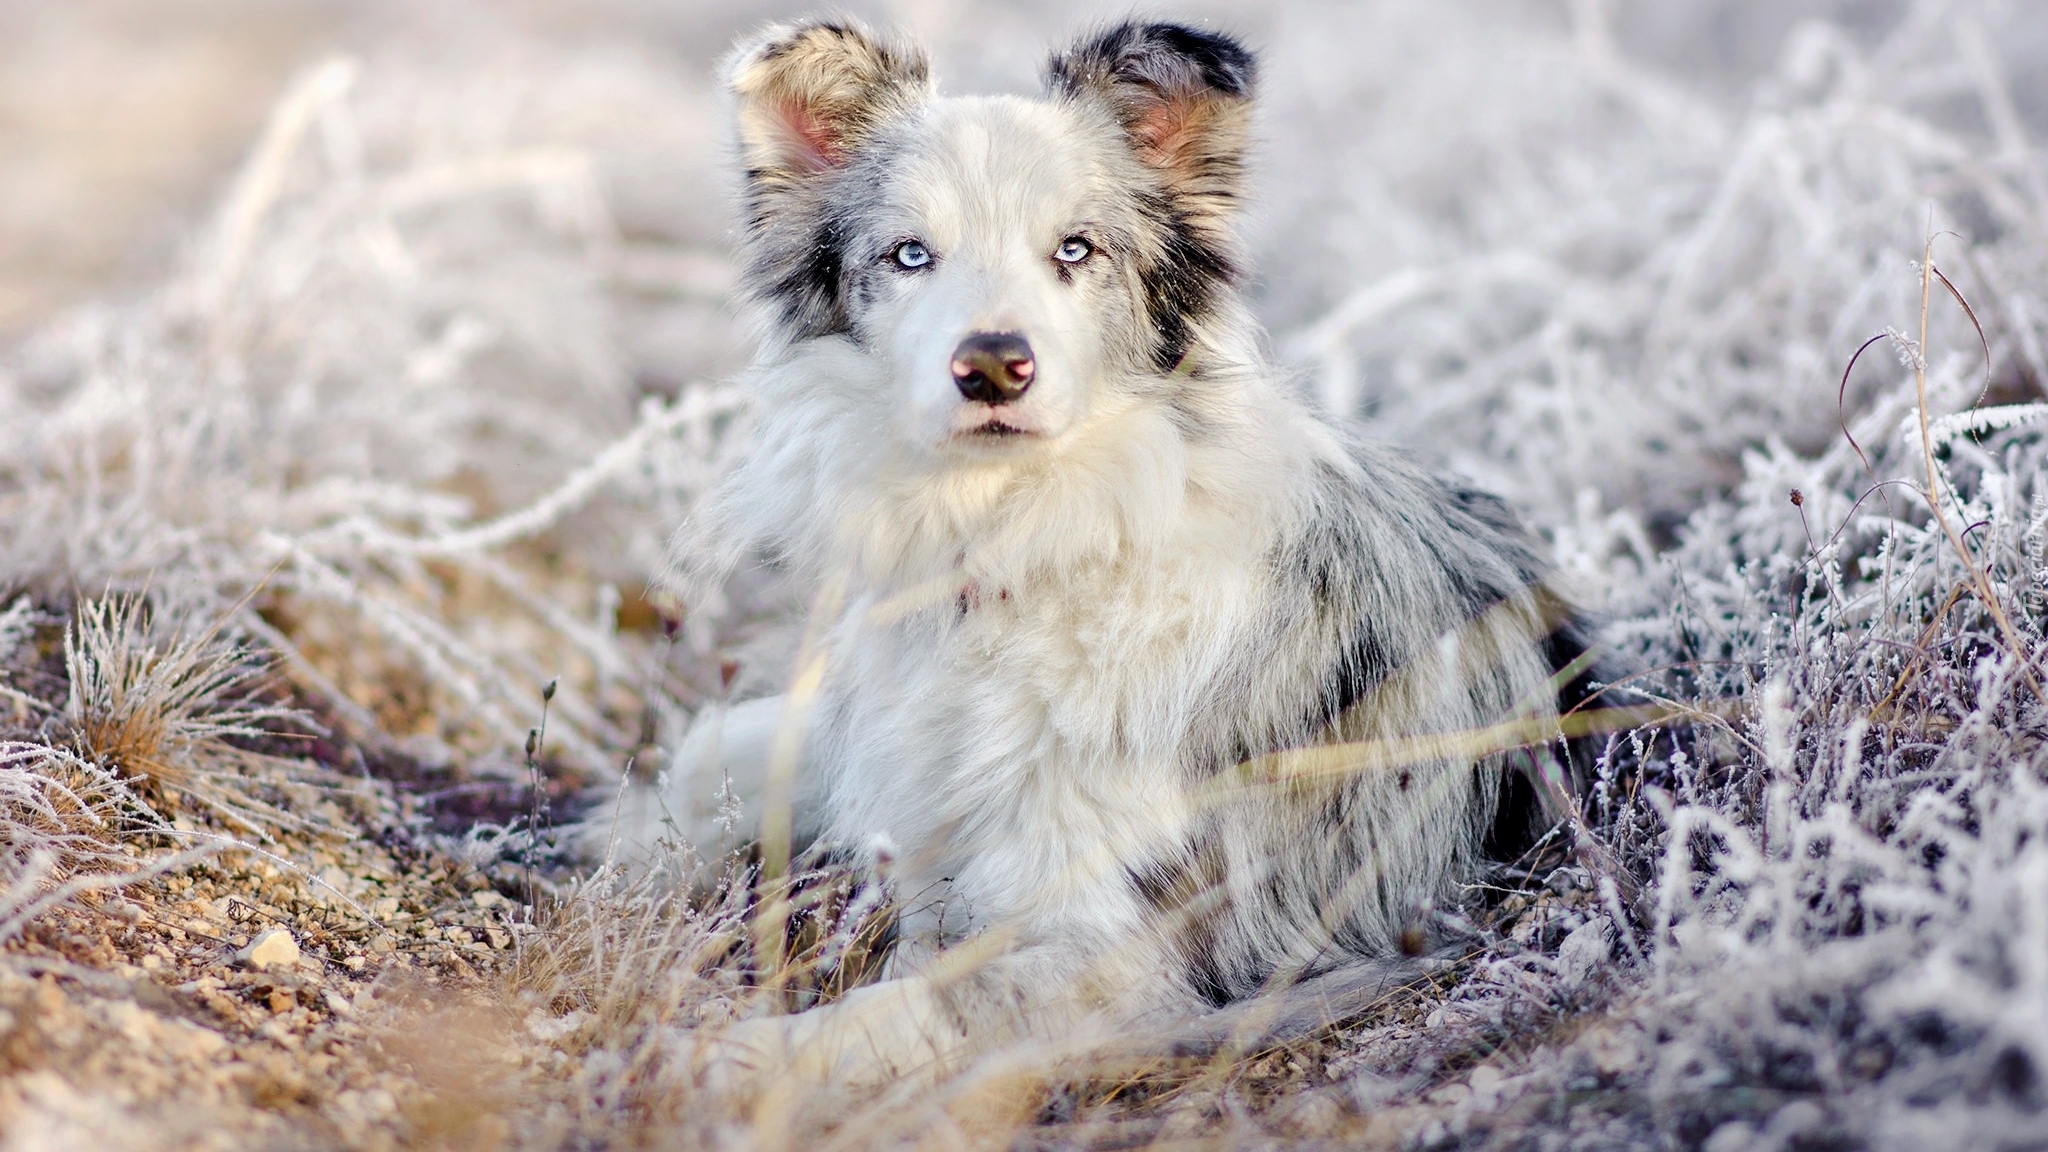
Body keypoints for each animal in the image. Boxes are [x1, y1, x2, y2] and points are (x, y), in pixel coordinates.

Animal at [614, 15, 1605, 1074]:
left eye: (1076, 249)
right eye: (910, 254)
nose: (994, 365)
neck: (1016, 542)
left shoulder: (1118, 954)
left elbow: (897, 1009)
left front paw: (709, 1061)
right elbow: (708, 753)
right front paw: (633, 851)